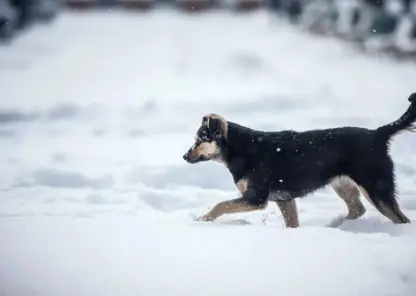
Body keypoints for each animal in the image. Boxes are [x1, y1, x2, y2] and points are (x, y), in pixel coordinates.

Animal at [183, 92, 416, 227]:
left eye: (199, 140)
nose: (184, 156)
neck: (240, 149)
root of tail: (378, 134)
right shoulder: (285, 200)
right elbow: (292, 223)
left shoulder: (256, 199)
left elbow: (220, 205)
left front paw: (202, 220)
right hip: (342, 184)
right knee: (357, 209)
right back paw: (336, 225)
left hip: (376, 187)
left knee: (401, 219)